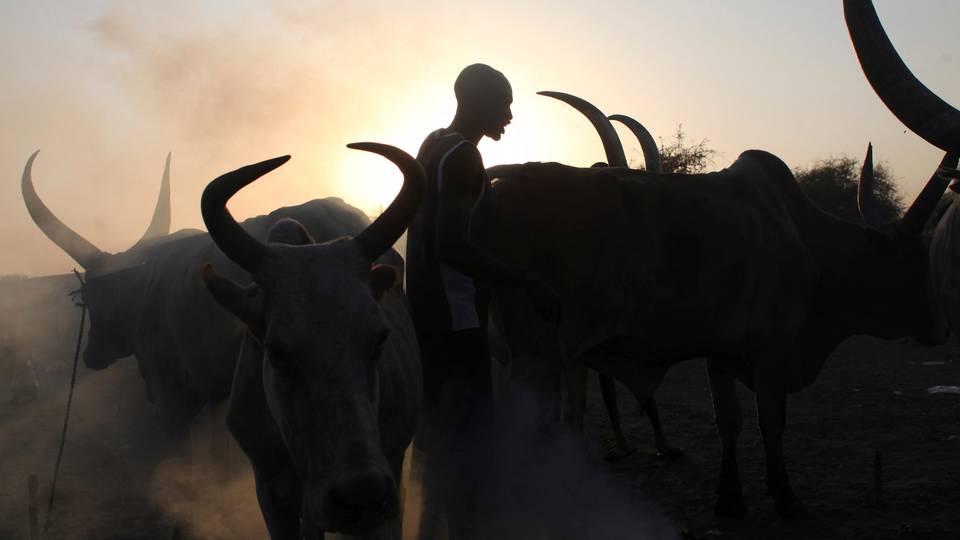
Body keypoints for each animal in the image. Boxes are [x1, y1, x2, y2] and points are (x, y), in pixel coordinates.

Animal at [478, 0, 957, 518]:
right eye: (913, 259)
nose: (941, 327)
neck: (806, 240)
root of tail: (499, 188)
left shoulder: (721, 350)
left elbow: (729, 420)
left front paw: (729, 496)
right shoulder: (771, 347)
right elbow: (771, 420)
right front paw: (784, 496)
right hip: (538, 357)